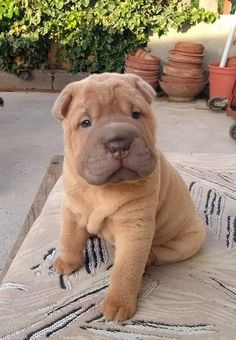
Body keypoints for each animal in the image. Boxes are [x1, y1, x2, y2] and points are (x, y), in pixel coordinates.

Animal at [52, 72, 206, 322]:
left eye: (136, 114)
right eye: (85, 123)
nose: (119, 143)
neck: (104, 188)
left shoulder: (135, 227)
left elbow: (126, 269)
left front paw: (118, 304)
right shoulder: (72, 208)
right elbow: (69, 236)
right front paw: (66, 260)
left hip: (189, 240)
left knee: (159, 253)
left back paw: (148, 260)